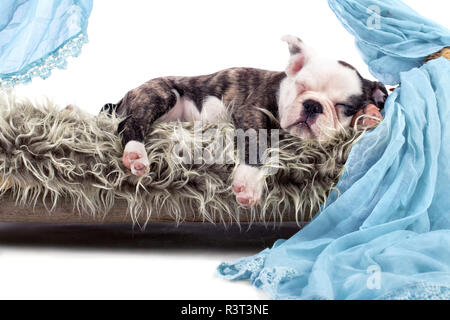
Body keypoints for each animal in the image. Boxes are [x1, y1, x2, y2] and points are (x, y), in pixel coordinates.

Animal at [102, 35, 386, 208]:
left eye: (345, 107)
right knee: (131, 124)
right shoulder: (250, 112)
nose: (312, 105)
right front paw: (249, 180)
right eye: (301, 87)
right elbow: (258, 143)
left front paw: (369, 115)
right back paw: (136, 154)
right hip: (162, 93)